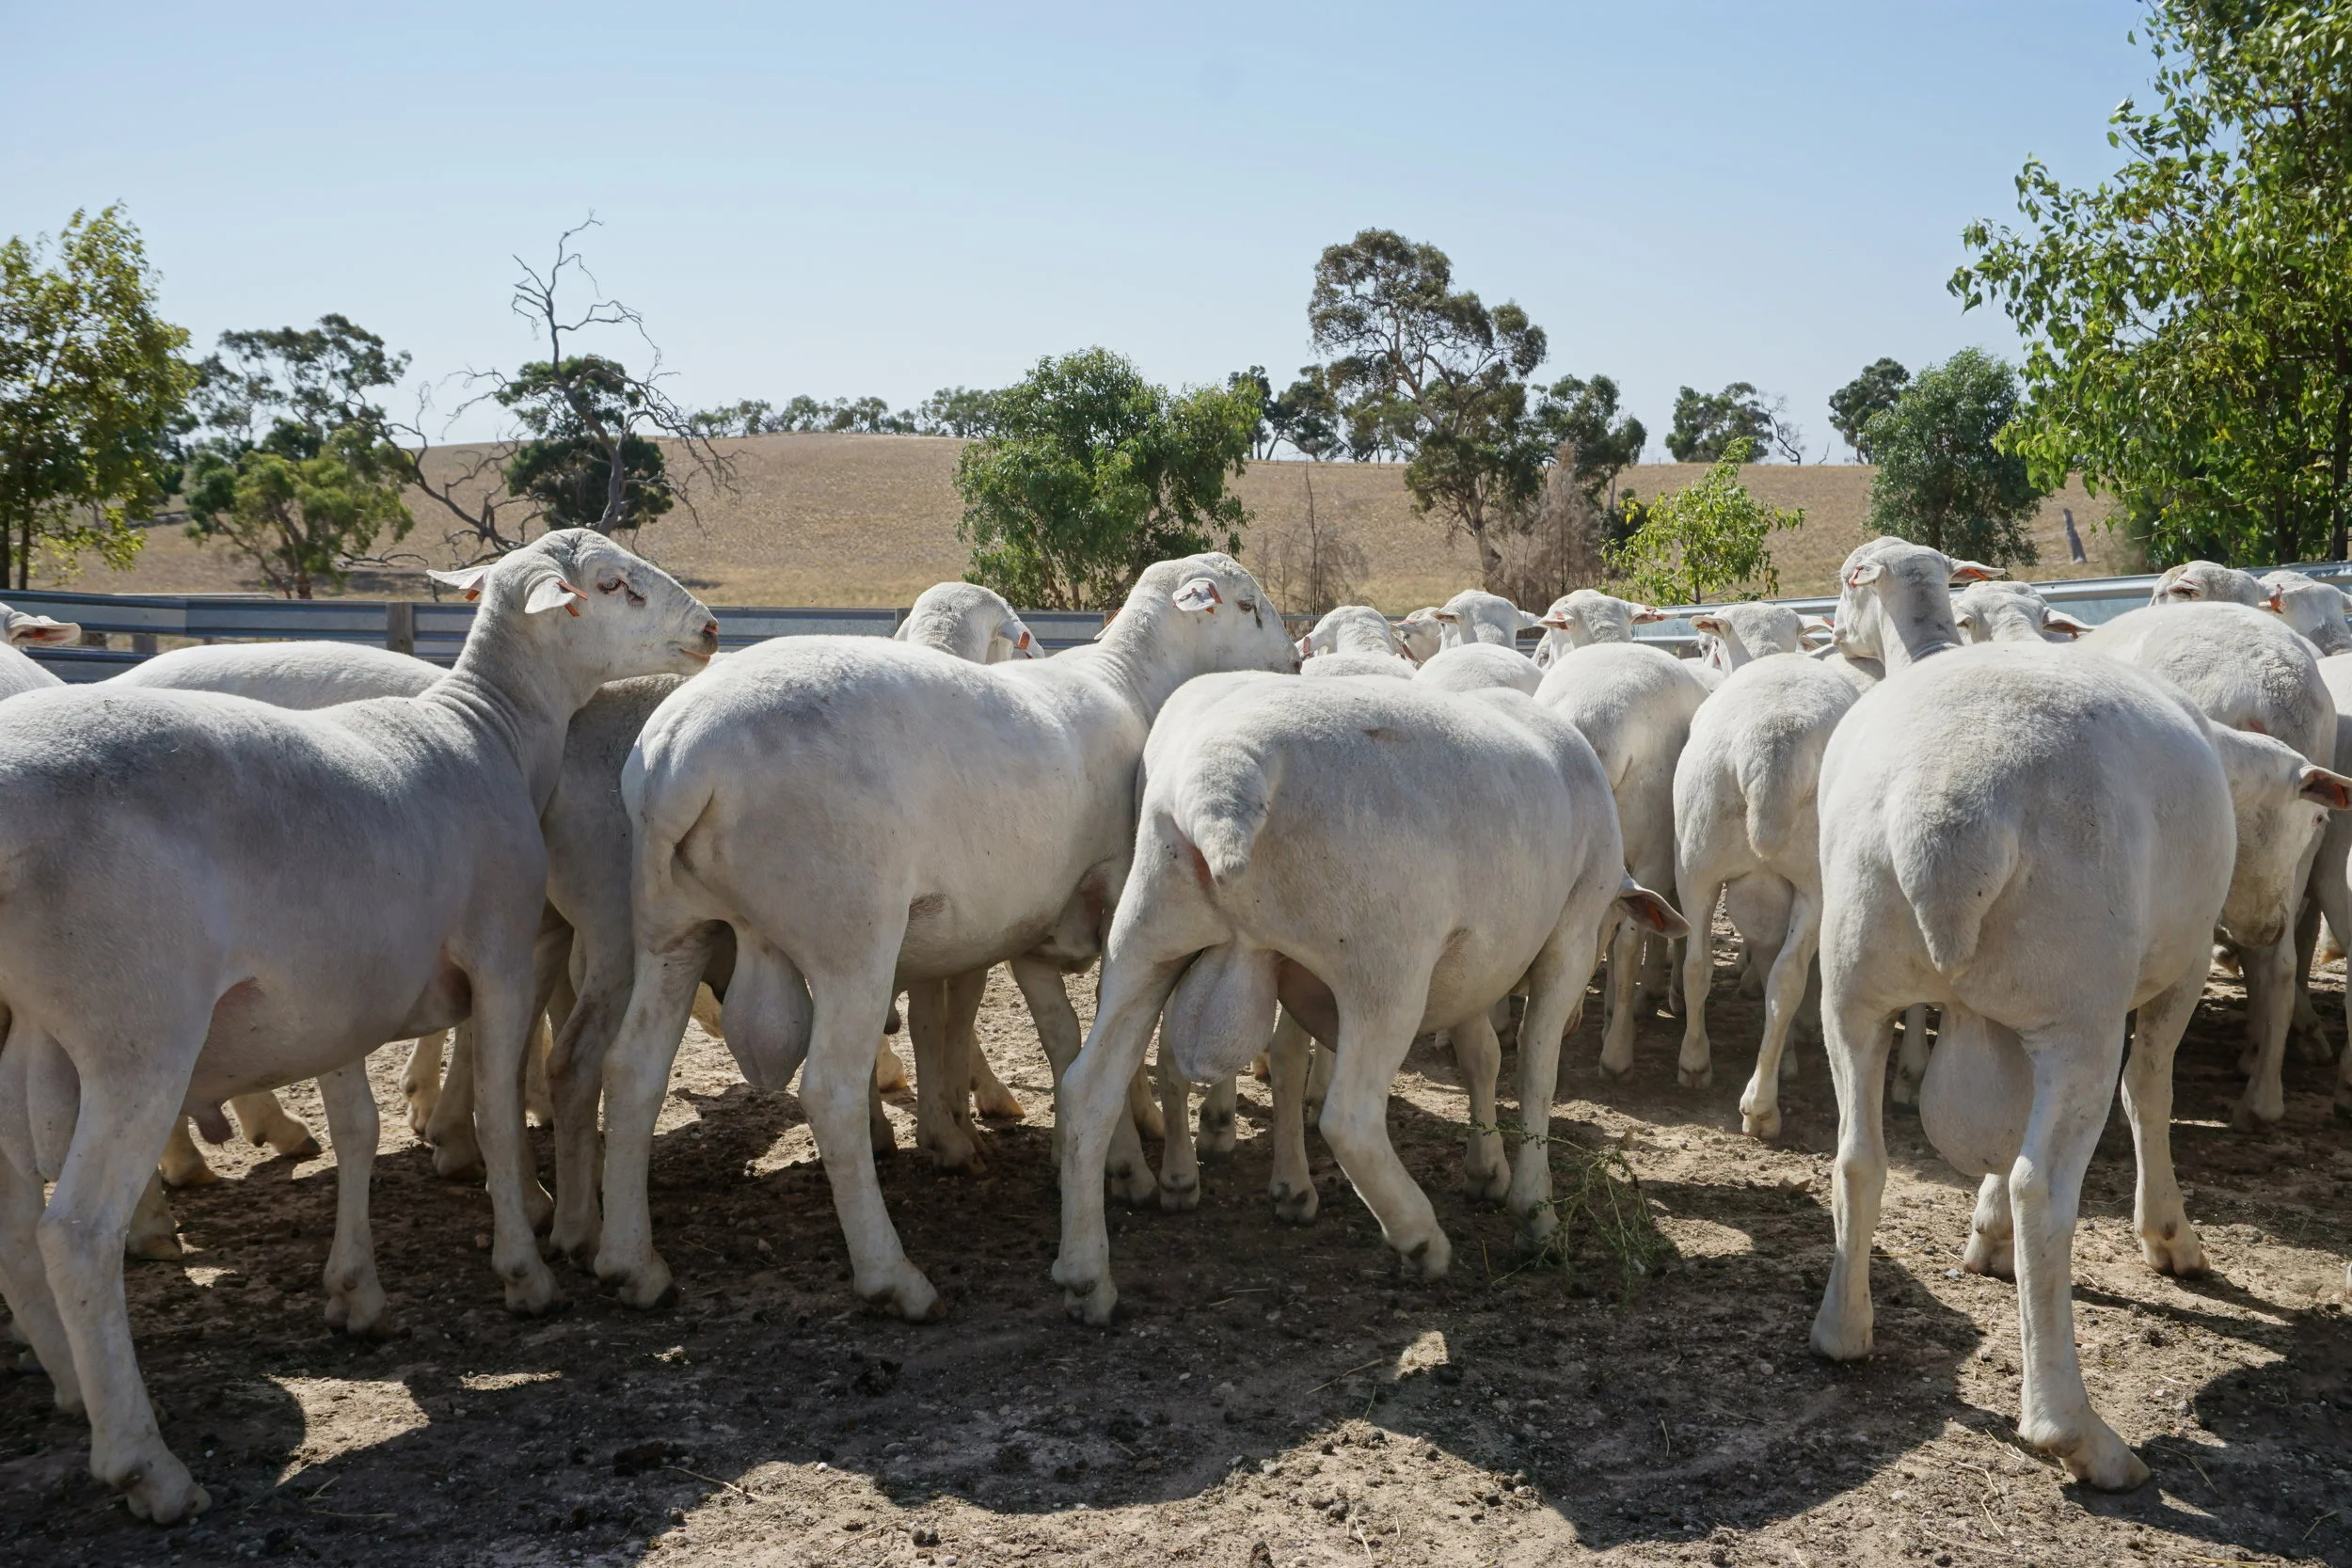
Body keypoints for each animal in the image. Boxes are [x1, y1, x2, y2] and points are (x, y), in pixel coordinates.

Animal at [0, 530, 713, 1524]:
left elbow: (359, 1129)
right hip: (133, 1028)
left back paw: (72, 1387)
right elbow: (496, 1113)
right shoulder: (499, 952)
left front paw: (355, 1292)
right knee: (75, 1233)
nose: (712, 629)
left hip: (28, 1032)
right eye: (613, 585)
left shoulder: (332, 996)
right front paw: (524, 1269)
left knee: (15, 1220)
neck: (484, 731)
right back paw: (147, 1463)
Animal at [591, 553, 1297, 1321]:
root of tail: (678, 759)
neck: (1130, 681)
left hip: (670, 926)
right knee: (830, 1093)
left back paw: (633, 1265)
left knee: (631, 1070)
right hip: (851, 936)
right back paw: (893, 1276)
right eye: (1250, 607)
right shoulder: (1113, 892)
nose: (1295, 661)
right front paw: (1135, 1164)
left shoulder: (1032, 927)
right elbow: (1112, 1044)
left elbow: (1062, 1041)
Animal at [1048, 671, 1683, 1324]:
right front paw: (1535, 1214)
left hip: (1147, 936)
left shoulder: (1471, 962)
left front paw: (1486, 1169)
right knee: (1350, 1116)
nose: (1582, 1021)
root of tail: (1226, 779)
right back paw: (1420, 1236)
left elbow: (1481, 1055)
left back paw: (1086, 1276)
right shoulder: (1569, 936)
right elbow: (1534, 1070)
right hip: (1384, 967)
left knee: (1087, 1092)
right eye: (1614, 921)